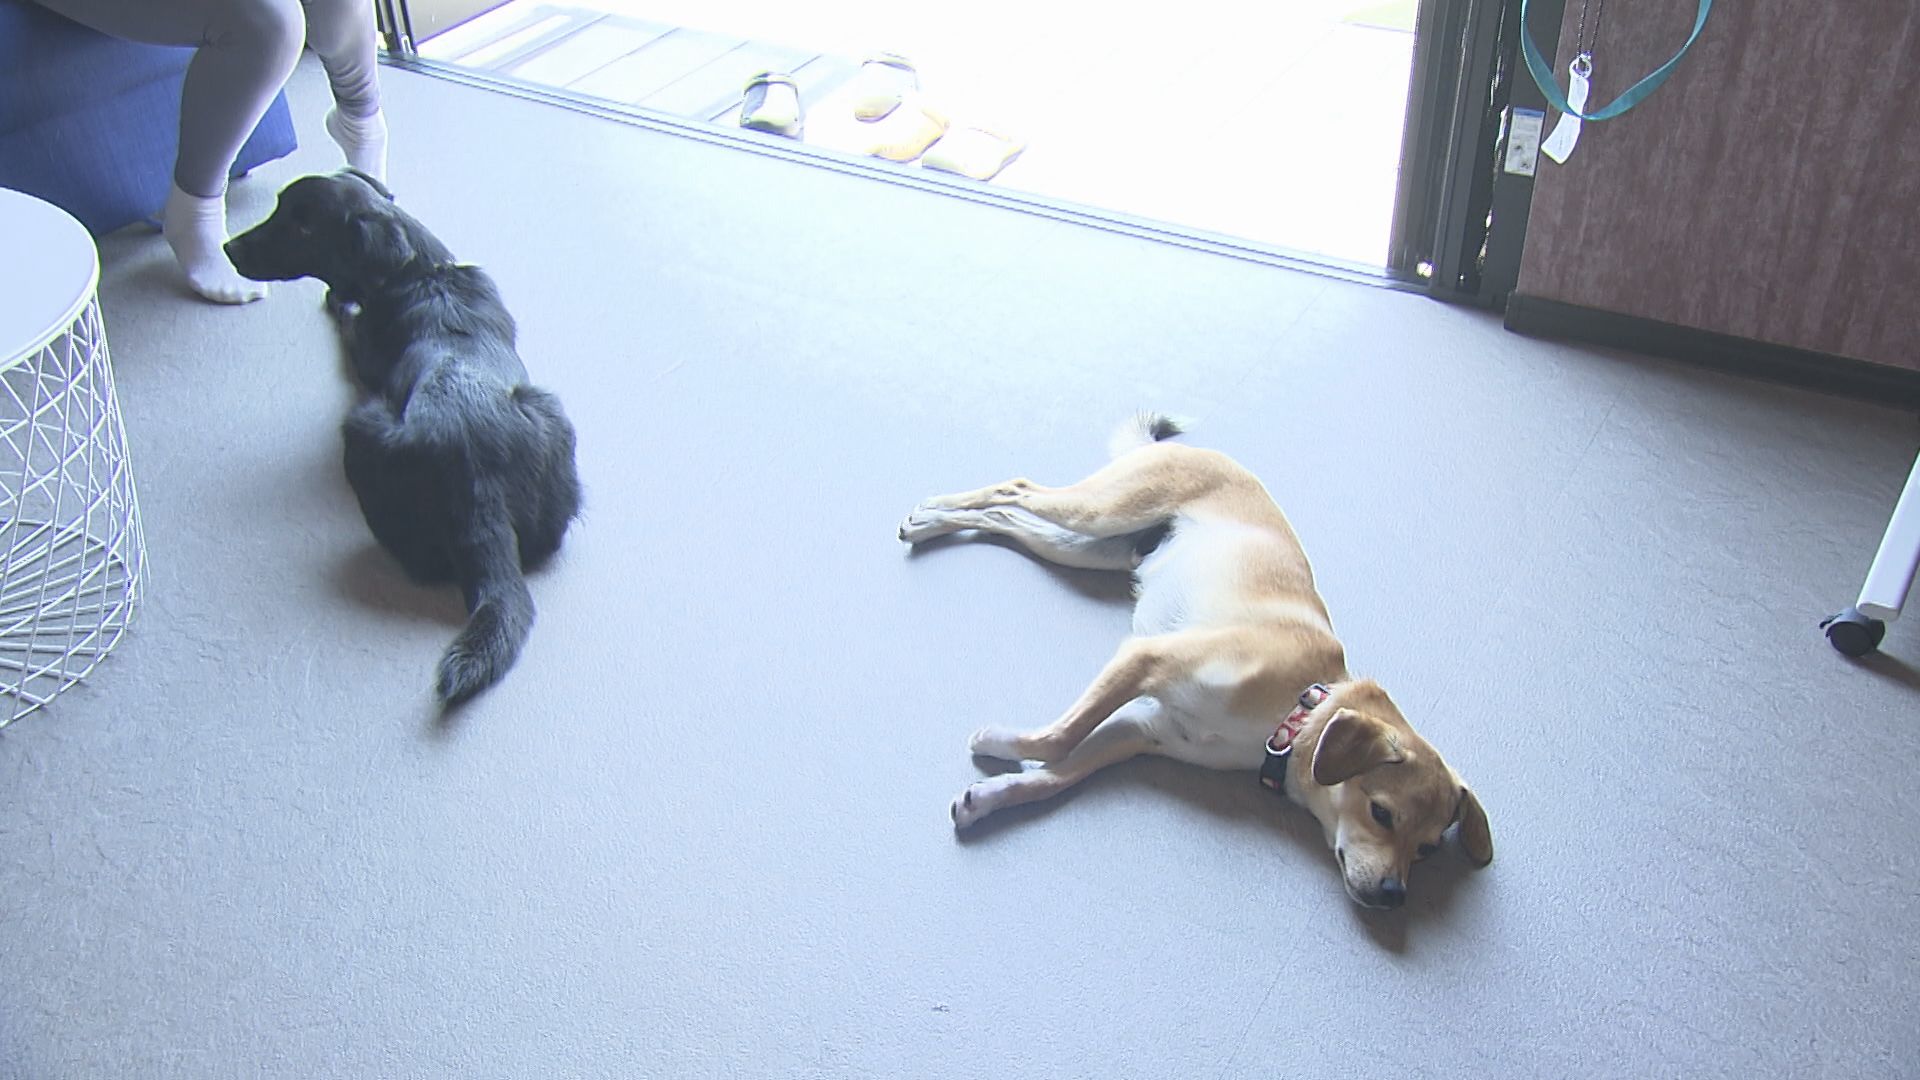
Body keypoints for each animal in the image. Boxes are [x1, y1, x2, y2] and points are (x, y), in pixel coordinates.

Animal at [226, 170, 581, 706]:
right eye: (279, 208)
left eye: (305, 228)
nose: (228, 247)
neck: (422, 271)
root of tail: (476, 485)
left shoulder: (360, 345)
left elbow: (347, 319)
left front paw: (338, 302)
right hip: (553, 414)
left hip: (361, 427)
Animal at [899, 415, 1492, 909]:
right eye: (1381, 813)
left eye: (1427, 849)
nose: (1394, 895)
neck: (1296, 713)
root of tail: (1192, 449)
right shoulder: (1145, 661)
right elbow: (1058, 739)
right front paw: (999, 741)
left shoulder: (1144, 731)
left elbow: (1059, 774)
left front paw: (990, 798)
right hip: (1100, 511)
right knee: (1015, 489)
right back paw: (929, 515)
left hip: (1086, 546)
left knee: (1005, 519)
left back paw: (932, 523)